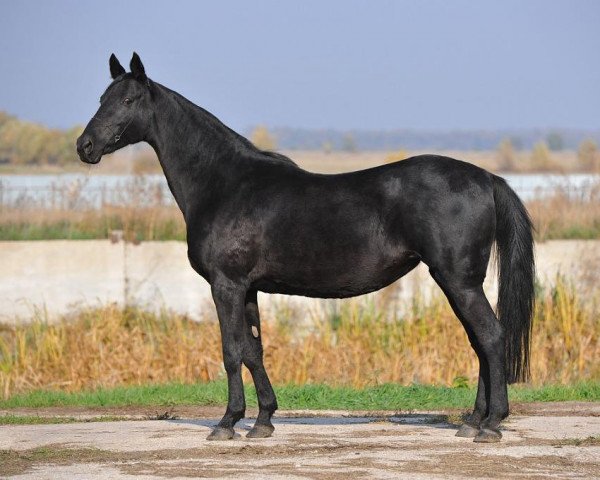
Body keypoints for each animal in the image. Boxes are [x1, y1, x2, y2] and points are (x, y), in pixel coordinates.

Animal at [76, 53, 536, 442]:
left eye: (129, 99)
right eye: (101, 98)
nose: (85, 146)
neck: (225, 183)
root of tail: (486, 178)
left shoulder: (225, 285)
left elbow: (231, 351)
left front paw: (227, 423)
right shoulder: (248, 289)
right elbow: (254, 350)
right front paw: (262, 421)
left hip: (458, 280)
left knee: (491, 337)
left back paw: (491, 425)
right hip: (457, 282)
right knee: (480, 341)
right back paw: (473, 421)